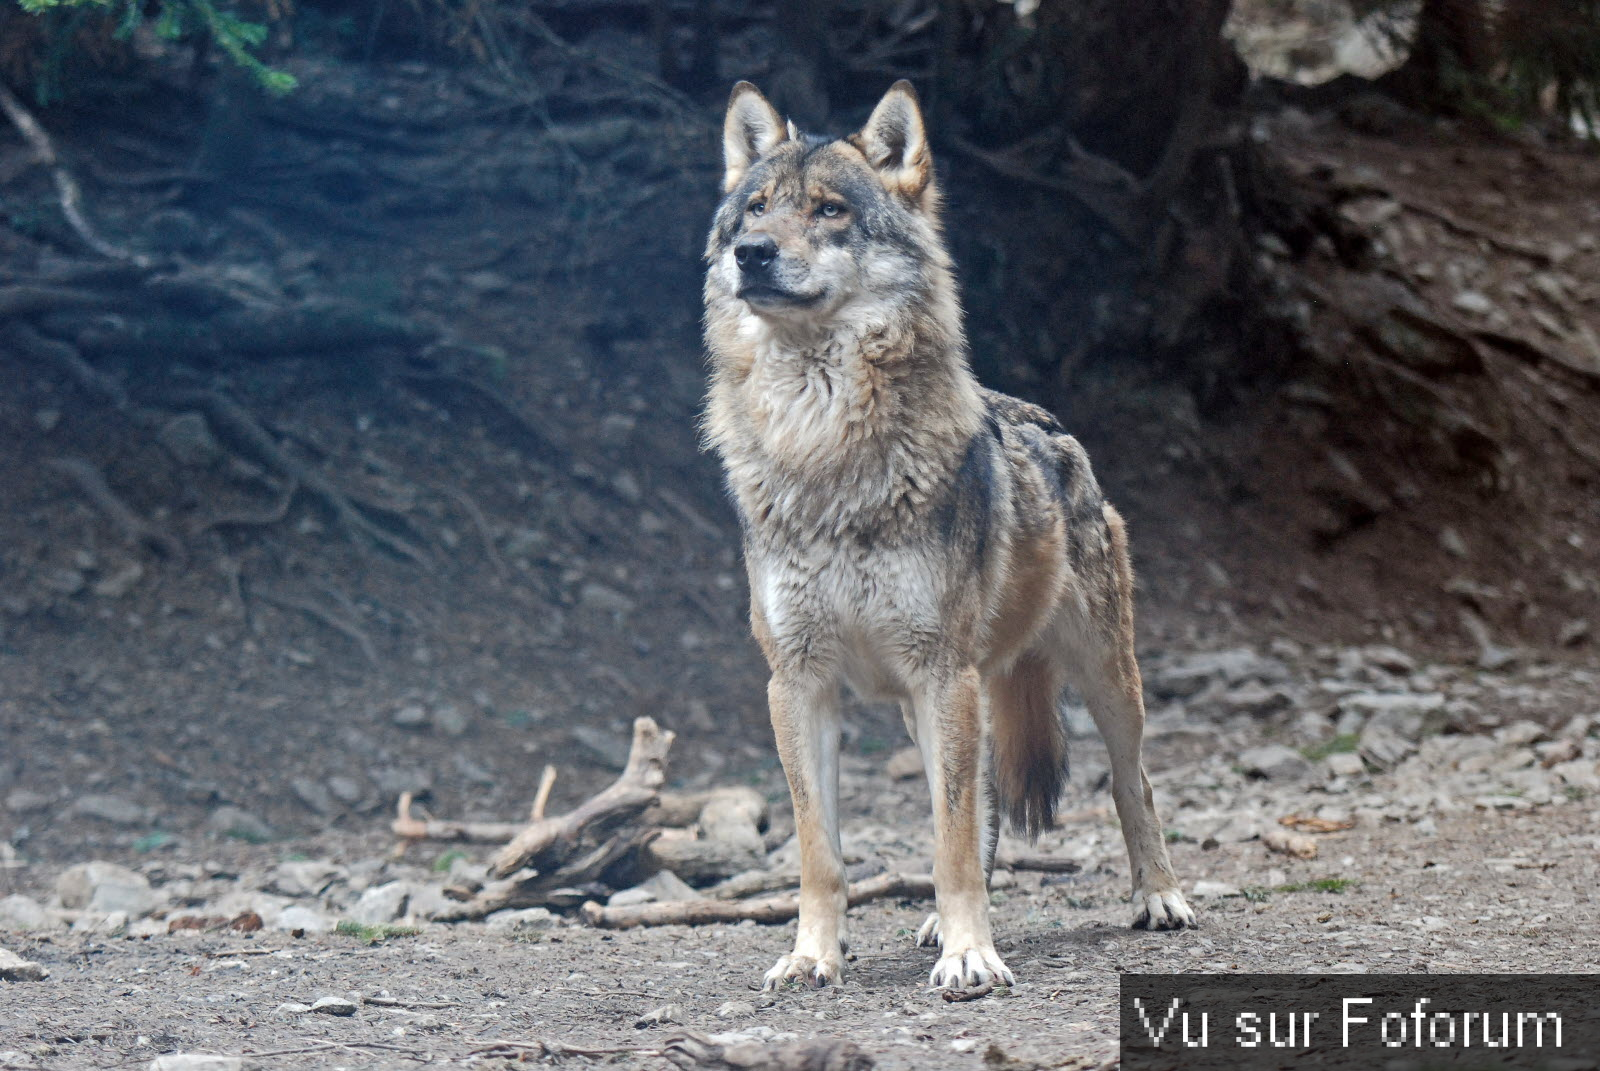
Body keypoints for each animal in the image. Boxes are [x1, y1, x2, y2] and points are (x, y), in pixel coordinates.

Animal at [707, 79, 1196, 992]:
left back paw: (1160, 897)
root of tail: (1050, 421)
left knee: (1131, 783)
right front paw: (812, 955)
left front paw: (973, 954)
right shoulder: (798, 683)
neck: (823, 449)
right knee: (985, 802)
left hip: (1102, 678)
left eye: (828, 210)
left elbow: (952, 834)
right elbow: (822, 850)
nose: (751, 252)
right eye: (756, 208)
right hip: (930, 702)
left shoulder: (943, 672)